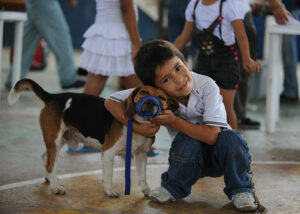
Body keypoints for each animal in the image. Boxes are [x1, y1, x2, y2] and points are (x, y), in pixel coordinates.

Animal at [8, 78, 178, 197]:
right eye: (143, 92)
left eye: (162, 98)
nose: (150, 103)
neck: (138, 124)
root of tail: (53, 96)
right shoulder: (108, 153)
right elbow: (108, 174)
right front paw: (109, 190)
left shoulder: (141, 154)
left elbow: (142, 176)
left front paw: (146, 190)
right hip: (55, 140)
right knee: (51, 164)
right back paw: (55, 187)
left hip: (59, 140)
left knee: (45, 157)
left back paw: (50, 179)